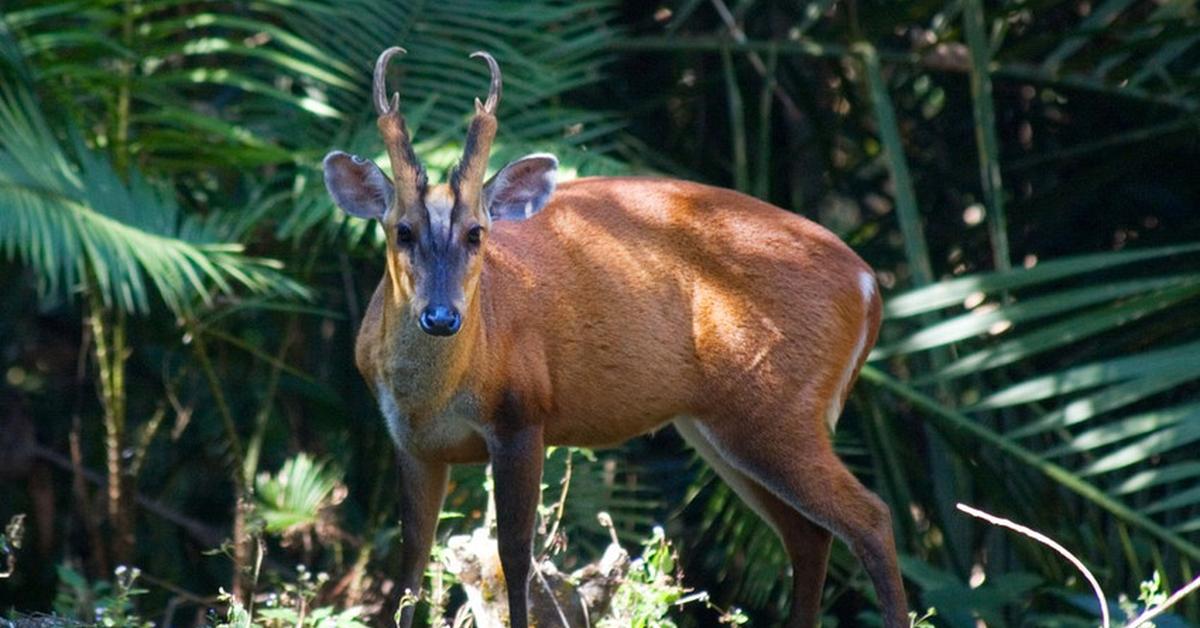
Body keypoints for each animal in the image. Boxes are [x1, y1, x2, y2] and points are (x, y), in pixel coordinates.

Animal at [324, 46, 902, 624]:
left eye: (475, 233)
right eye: (402, 231)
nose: (442, 317)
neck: (435, 395)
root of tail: (869, 286)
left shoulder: (522, 414)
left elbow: (514, 554)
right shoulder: (411, 442)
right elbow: (412, 561)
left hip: (781, 405)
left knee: (871, 516)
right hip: (723, 426)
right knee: (807, 534)